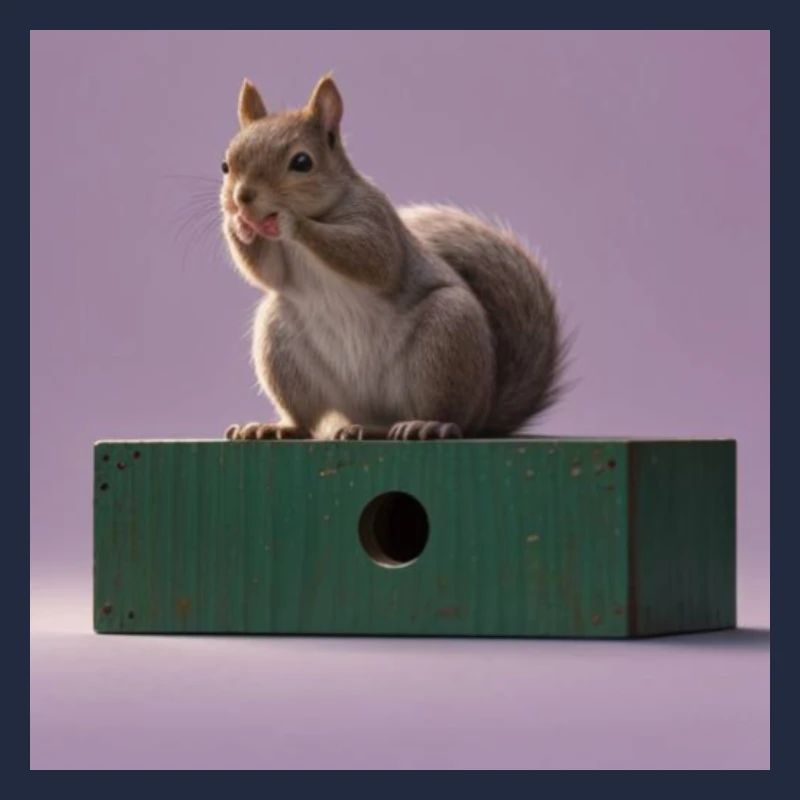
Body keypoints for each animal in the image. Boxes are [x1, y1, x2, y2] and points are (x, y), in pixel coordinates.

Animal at [221, 75, 566, 441]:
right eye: (225, 165)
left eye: (302, 162)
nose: (242, 198)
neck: (325, 210)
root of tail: (484, 411)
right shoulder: (280, 264)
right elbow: (267, 273)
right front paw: (237, 225)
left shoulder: (376, 221)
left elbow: (372, 258)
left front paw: (289, 220)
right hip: (280, 342)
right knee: (309, 420)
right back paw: (283, 428)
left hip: (446, 338)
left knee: (447, 414)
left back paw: (425, 423)